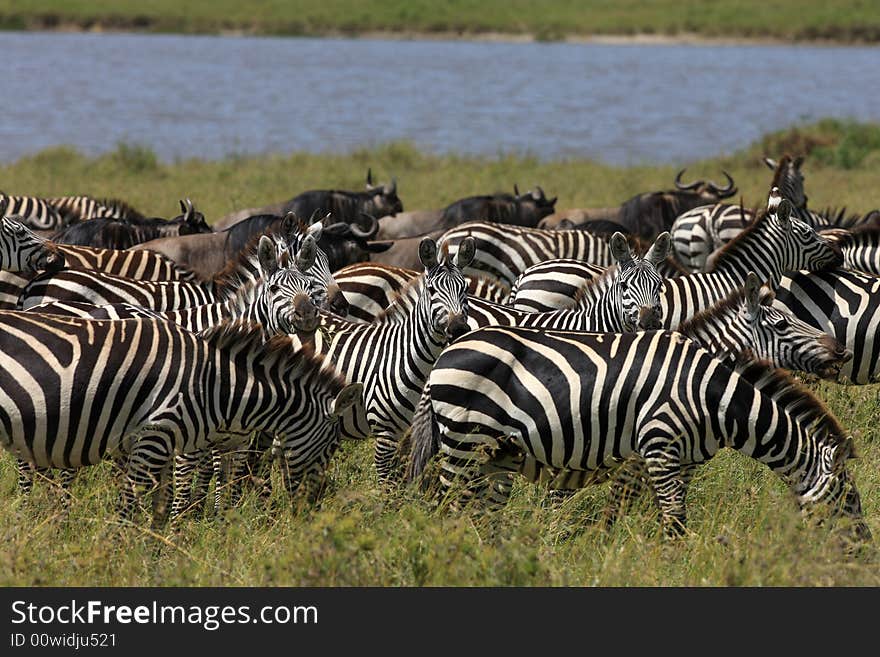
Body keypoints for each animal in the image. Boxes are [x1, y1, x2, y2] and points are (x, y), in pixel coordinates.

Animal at [0, 314, 360, 528]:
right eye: (331, 445)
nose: (315, 508)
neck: (212, 384)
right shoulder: (155, 435)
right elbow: (130, 506)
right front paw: (118, 558)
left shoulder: (158, 446)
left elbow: (160, 506)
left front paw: (157, 555)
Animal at [408, 326, 872, 540]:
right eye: (850, 499)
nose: (864, 550)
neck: (714, 399)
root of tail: (444, 356)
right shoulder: (659, 444)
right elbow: (673, 517)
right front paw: (671, 563)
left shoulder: (683, 459)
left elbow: (652, 511)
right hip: (464, 442)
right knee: (446, 508)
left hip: (494, 456)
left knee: (478, 514)